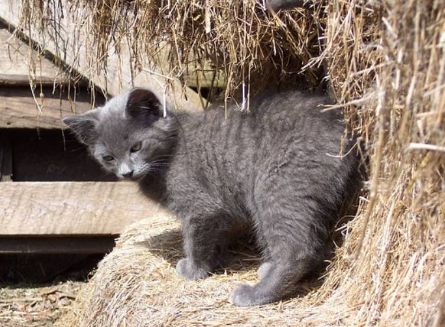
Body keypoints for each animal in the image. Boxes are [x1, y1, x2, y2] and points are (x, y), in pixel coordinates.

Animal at [63, 88, 360, 308]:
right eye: (108, 157)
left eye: (136, 147)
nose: (126, 172)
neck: (170, 152)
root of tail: (341, 125)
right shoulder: (218, 211)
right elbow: (215, 238)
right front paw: (213, 264)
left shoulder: (201, 208)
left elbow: (195, 241)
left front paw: (193, 270)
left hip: (276, 186)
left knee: (298, 249)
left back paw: (255, 294)